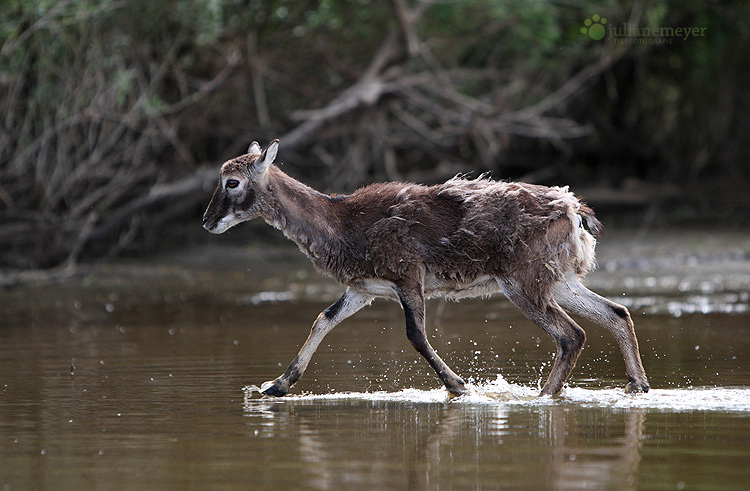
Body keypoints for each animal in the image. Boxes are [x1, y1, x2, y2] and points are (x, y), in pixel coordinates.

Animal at [203, 140, 648, 398]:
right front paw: (274, 386)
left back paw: (544, 396)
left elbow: (415, 335)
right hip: (560, 278)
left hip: (524, 280)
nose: (207, 222)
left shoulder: (407, 273)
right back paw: (638, 384)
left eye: (231, 182)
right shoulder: (364, 287)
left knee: (572, 334)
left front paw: (459, 385)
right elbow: (323, 319)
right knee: (616, 312)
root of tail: (576, 212)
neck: (341, 225)